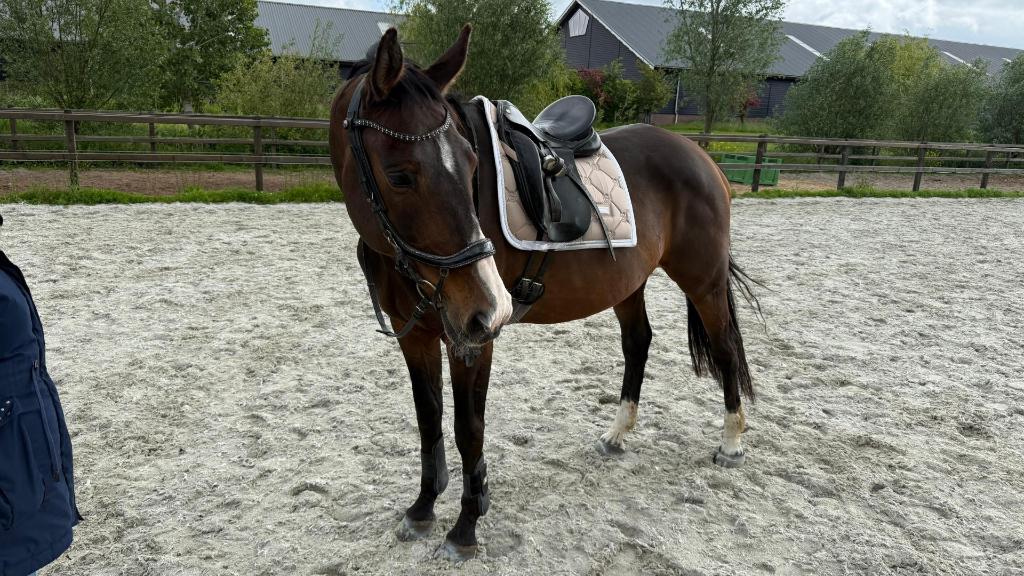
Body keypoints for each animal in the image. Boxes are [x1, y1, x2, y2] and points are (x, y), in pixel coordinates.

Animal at [328, 26, 759, 560]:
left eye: (472, 163)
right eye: (399, 174)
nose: (490, 307)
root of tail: (699, 155)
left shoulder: (472, 339)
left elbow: (468, 428)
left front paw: (466, 527)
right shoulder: (418, 336)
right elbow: (429, 420)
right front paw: (423, 508)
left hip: (704, 280)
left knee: (724, 349)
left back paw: (731, 442)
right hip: (627, 283)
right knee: (638, 343)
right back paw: (617, 434)